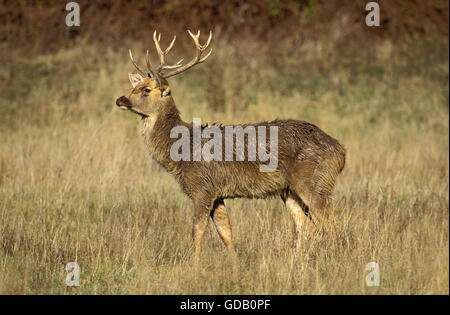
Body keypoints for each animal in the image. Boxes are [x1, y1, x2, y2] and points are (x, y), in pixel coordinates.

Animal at [115, 30, 344, 264]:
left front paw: (193, 266)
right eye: (133, 87)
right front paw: (235, 264)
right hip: (289, 190)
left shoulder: (202, 188)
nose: (120, 99)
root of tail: (340, 151)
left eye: (146, 89)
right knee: (307, 226)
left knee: (334, 225)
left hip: (315, 182)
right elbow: (226, 233)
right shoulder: (218, 193)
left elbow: (197, 232)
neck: (181, 151)